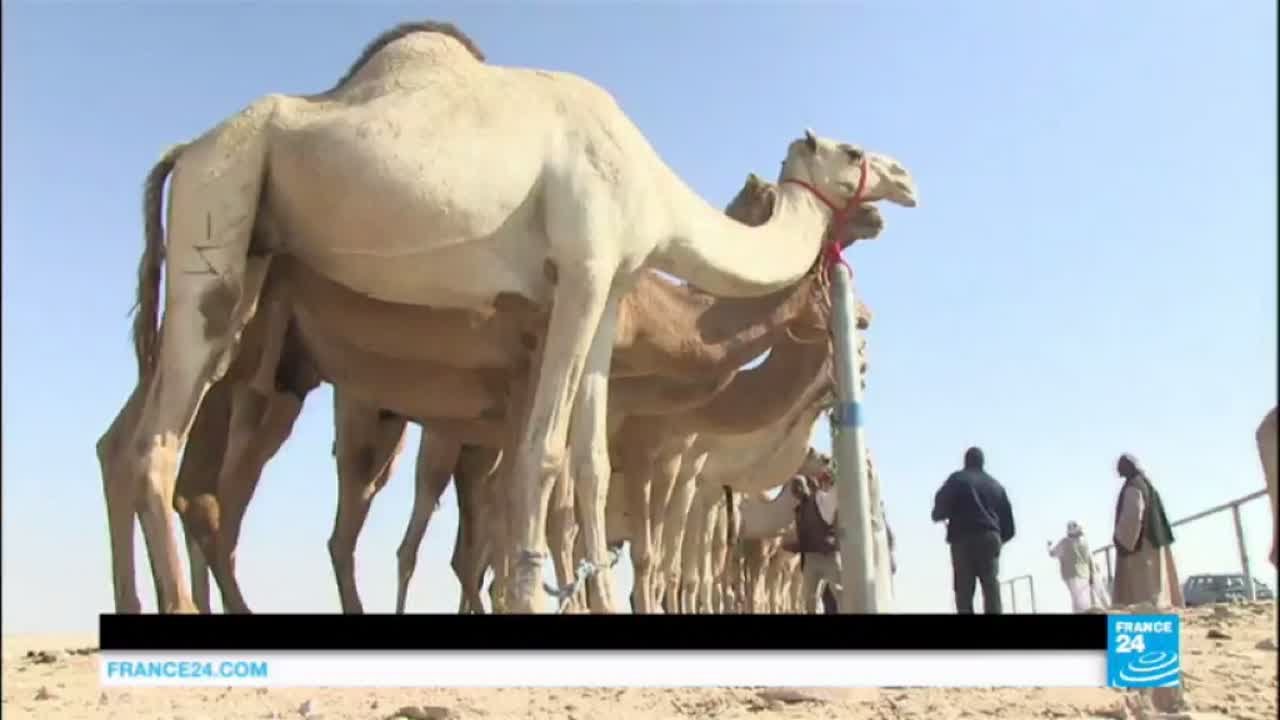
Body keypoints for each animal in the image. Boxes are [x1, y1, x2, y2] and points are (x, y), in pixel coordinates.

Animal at [114, 18, 917, 614]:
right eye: (851, 150)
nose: (907, 179)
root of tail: (185, 150)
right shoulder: (581, 271)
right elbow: (544, 454)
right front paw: (531, 595)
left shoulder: (609, 291)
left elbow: (591, 464)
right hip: (220, 205)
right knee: (161, 442)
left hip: (254, 261)